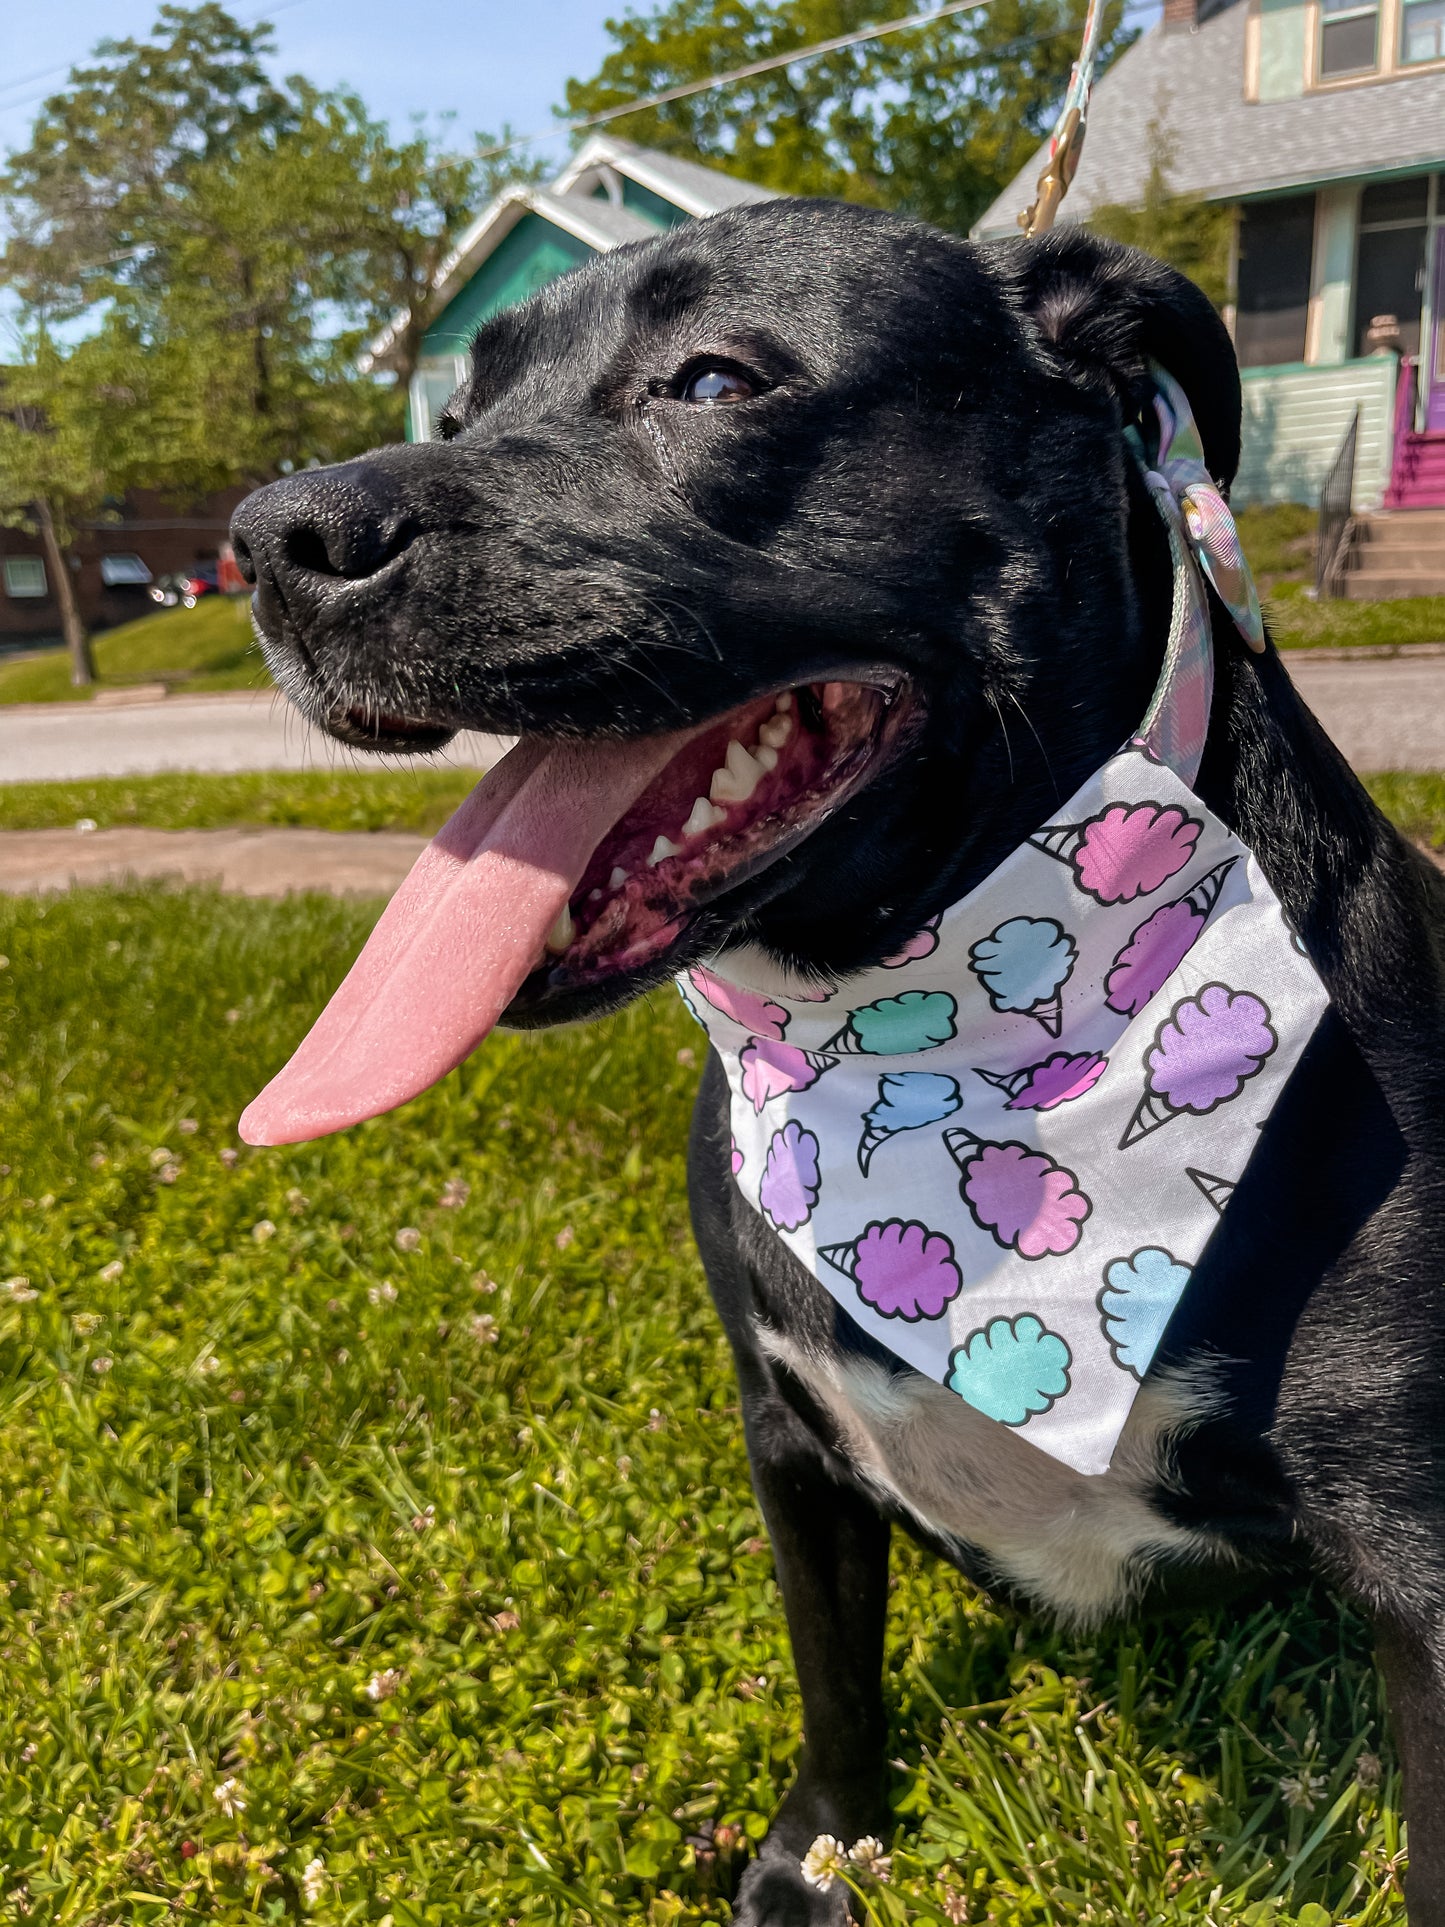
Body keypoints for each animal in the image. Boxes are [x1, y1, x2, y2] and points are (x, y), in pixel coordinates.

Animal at [232, 203, 1445, 1919]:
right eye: (457, 415)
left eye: (714, 379)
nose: (272, 538)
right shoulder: (787, 1434)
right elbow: (834, 1674)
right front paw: (820, 1845)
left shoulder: (1420, 1547)